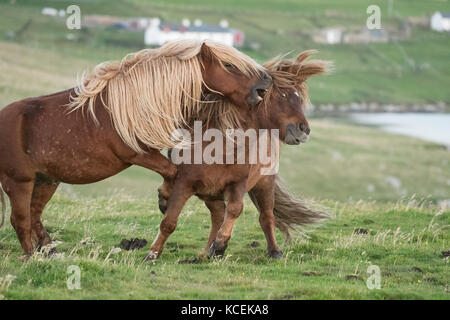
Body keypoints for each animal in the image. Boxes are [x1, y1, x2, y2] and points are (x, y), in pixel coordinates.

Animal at [0, 40, 270, 256]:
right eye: (229, 65)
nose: (265, 78)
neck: (136, 103)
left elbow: (173, 173)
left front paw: (165, 199)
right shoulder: (137, 154)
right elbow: (173, 172)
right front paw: (165, 200)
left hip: (46, 180)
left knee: (34, 214)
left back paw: (49, 250)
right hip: (19, 182)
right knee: (20, 220)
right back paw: (30, 256)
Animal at [153, 50, 328, 260]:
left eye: (299, 98)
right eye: (282, 95)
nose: (304, 130)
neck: (221, 148)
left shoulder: (238, 184)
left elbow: (236, 210)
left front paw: (220, 245)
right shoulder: (185, 182)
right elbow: (169, 220)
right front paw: (153, 252)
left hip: (264, 183)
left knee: (265, 216)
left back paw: (273, 251)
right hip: (210, 192)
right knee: (217, 214)